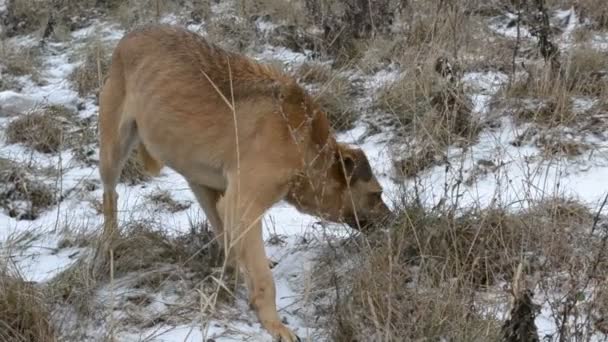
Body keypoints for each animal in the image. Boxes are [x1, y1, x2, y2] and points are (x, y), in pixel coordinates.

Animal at [97, 25, 388, 340]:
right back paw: (111, 243)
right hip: (113, 153)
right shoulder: (244, 206)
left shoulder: (231, 202)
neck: (303, 141)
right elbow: (263, 278)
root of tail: (130, 36)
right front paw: (274, 324)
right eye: (377, 194)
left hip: (202, 182)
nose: (394, 220)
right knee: (110, 196)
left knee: (221, 232)